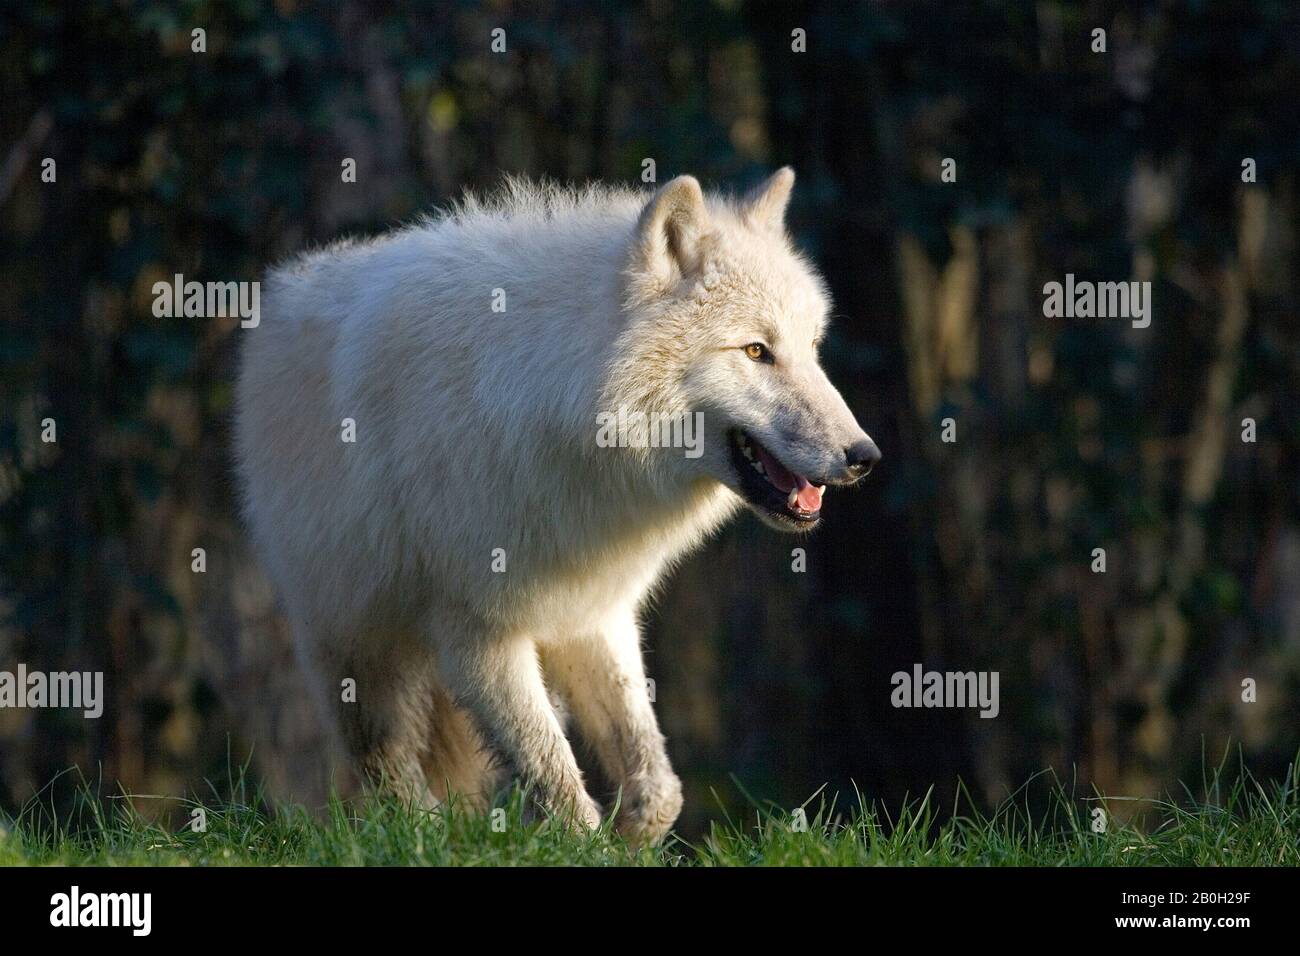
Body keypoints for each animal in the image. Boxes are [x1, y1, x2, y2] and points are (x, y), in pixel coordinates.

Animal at [236, 170, 883, 842]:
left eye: (813, 348)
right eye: (757, 351)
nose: (865, 456)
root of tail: (282, 289)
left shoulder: (597, 611)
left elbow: (657, 788)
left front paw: (631, 839)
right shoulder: (479, 631)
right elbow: (565, 795)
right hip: (357, 647)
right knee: (390, 776)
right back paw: (424, 835)